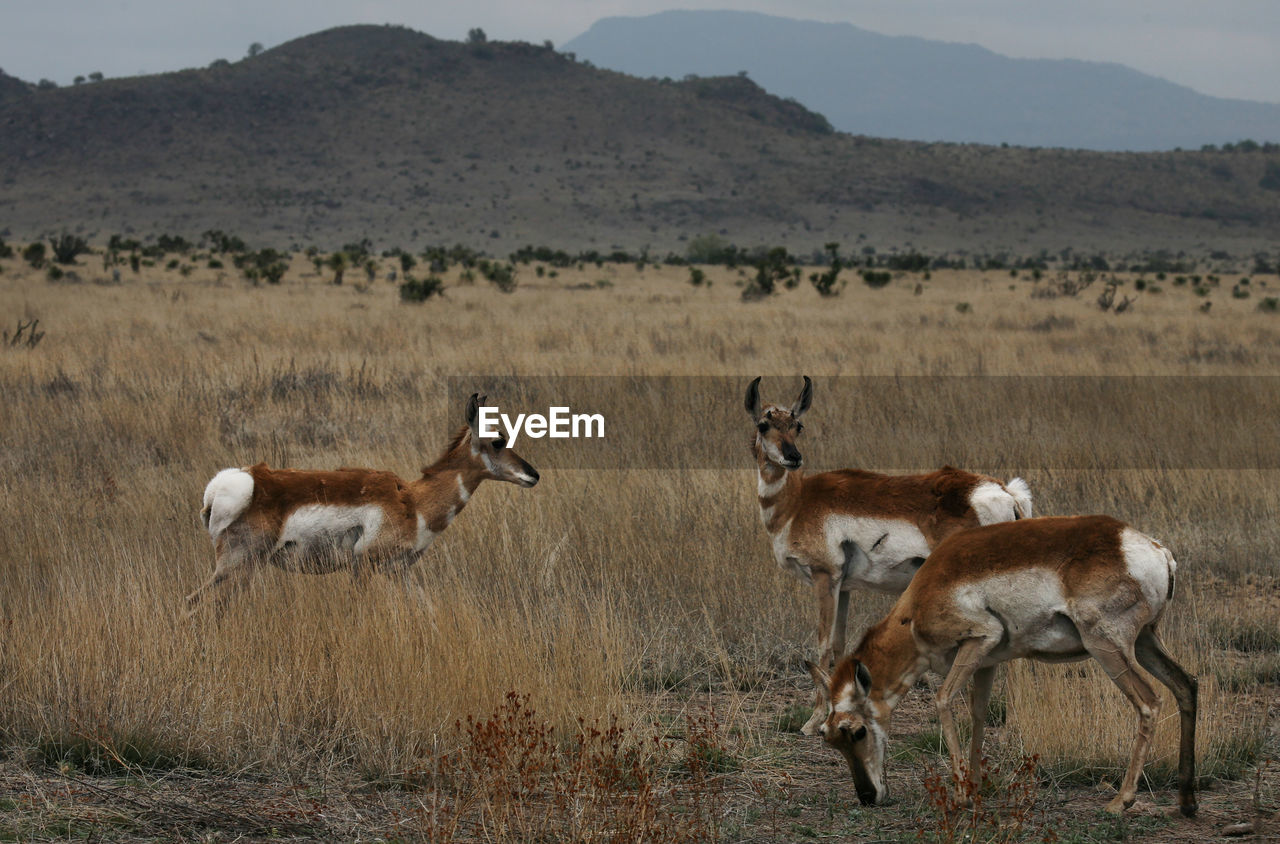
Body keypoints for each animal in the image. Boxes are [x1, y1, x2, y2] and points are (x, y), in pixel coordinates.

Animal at [183, 391, 537, 617]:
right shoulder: (363, 568)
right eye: (498, 440)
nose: (533, 475)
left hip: (243, 570)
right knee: (194, 603)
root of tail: (239, 482)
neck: (412, 501)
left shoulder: (399, 572)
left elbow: (426, 610)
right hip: (237, 565)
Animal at [747, 376, 1029, 732]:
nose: (793, 457)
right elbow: (838, 644)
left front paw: (813, 721)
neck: (798, 501)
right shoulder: (844, 587)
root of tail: (1004, 492)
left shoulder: (825, 578)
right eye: (764, 424)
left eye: (797, 425)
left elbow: (822, 644)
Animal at [814, 514, 1192, 819]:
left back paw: (1120, 801)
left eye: (856, 731)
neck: (918, 604)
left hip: (1108, 649)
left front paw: (962, 797)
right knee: (1187, 685)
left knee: (1150, 702)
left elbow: (943, 699)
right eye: (828, 736)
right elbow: (979, 714)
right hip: (1145, 643)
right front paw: (975, 786)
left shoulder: (979, 640)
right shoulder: (986, 663)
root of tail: (1153, 549)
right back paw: (1187, 803)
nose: (867, 796)